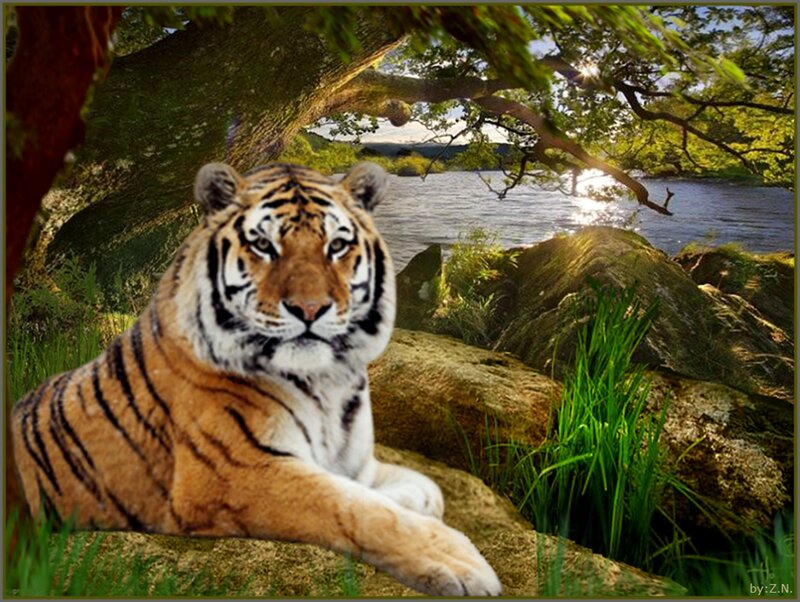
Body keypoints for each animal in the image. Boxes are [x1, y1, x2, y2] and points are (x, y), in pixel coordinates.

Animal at [10, 161, 501, 596]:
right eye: (264, 246)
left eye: (337, 246)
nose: (309, 309)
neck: (327, 382)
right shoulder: (234, 474)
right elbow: (350, 505)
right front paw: (460, 562)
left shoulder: (351, 460)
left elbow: (414, 488)